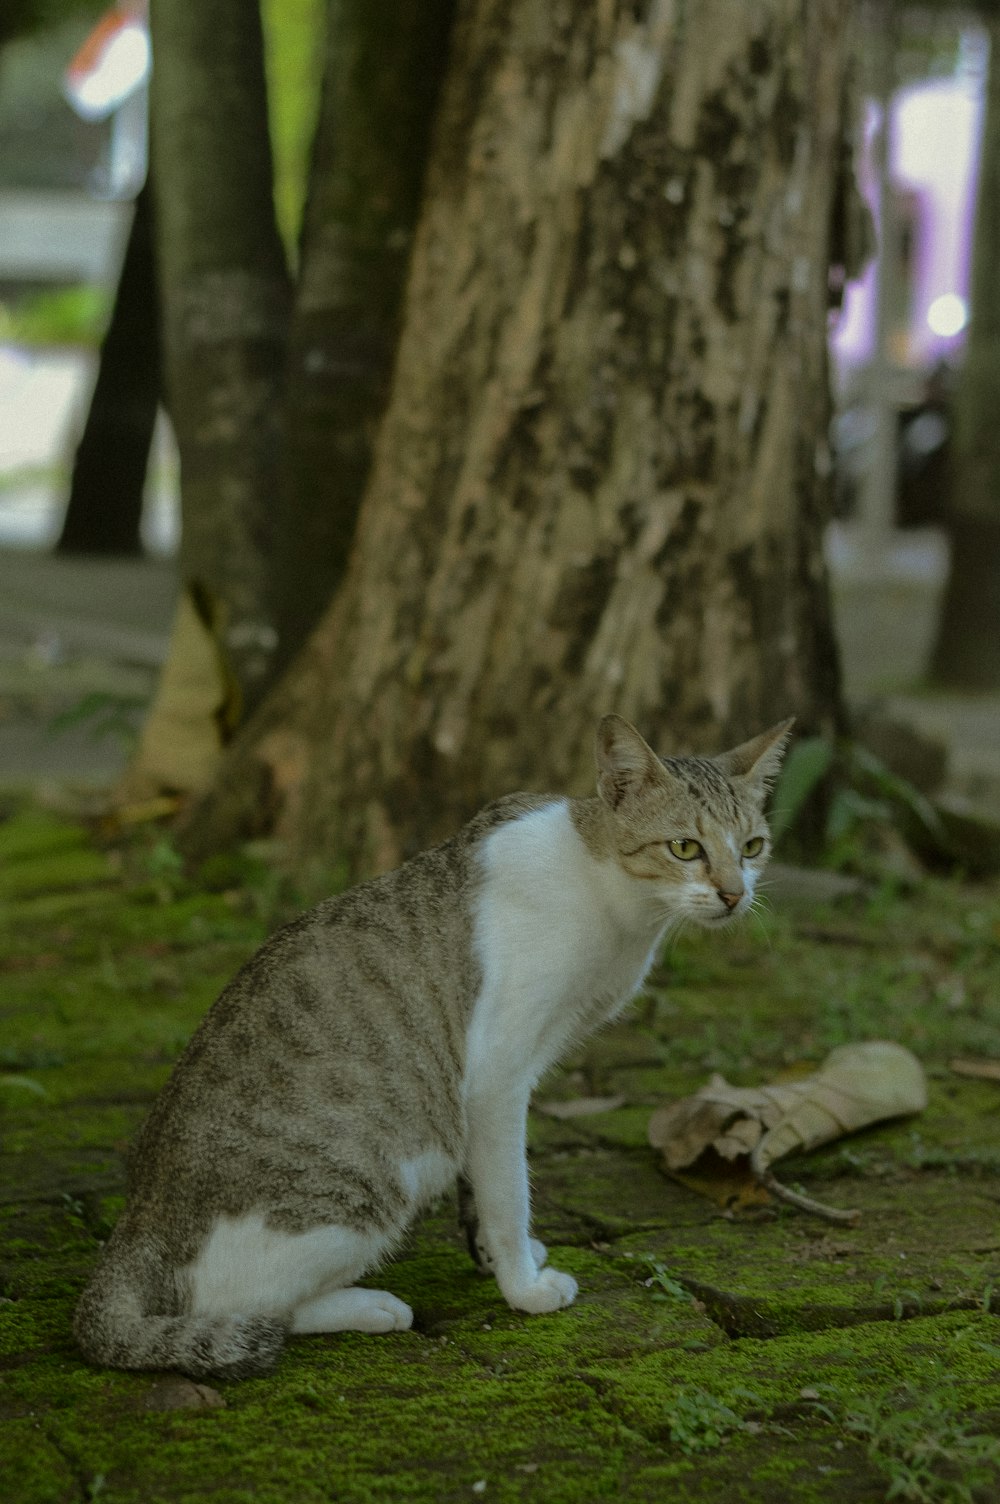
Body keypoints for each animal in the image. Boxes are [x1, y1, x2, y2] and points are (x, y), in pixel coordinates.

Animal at [74, 709, 787, 1377]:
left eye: (752, 846)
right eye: (686, 848)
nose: (735, 894)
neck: (612, 898)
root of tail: (134, 1227)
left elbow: (483, 1191)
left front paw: (500, 1257)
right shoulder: (497, 1076)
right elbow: (508, 1190)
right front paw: (525, 1289)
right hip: (368, 1187)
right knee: (248, 1310)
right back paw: (370, 1305)